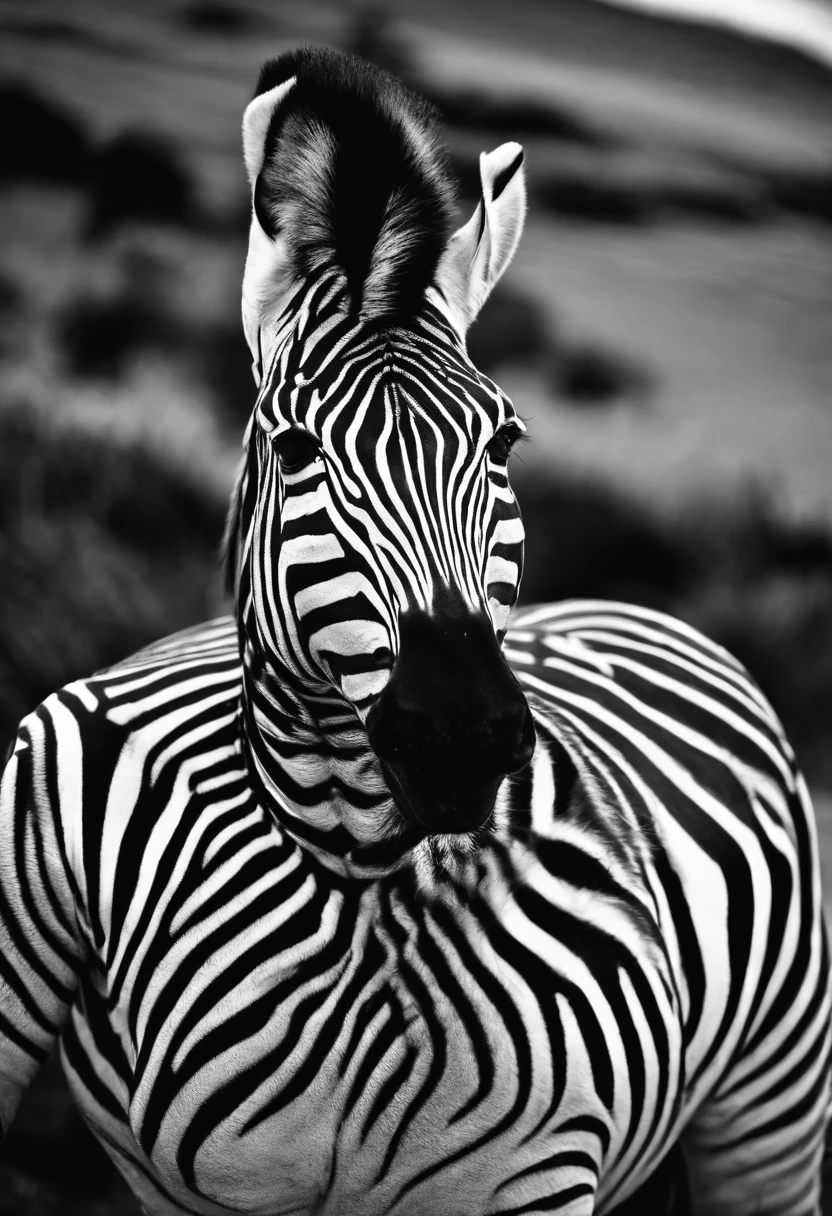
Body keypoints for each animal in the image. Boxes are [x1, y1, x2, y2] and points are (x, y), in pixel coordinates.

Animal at [0, 44, 829, 1216]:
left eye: (506, 442)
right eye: (295, 450)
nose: (462, 735)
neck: (356, 872)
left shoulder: (539, 1177)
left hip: (772, 1106)